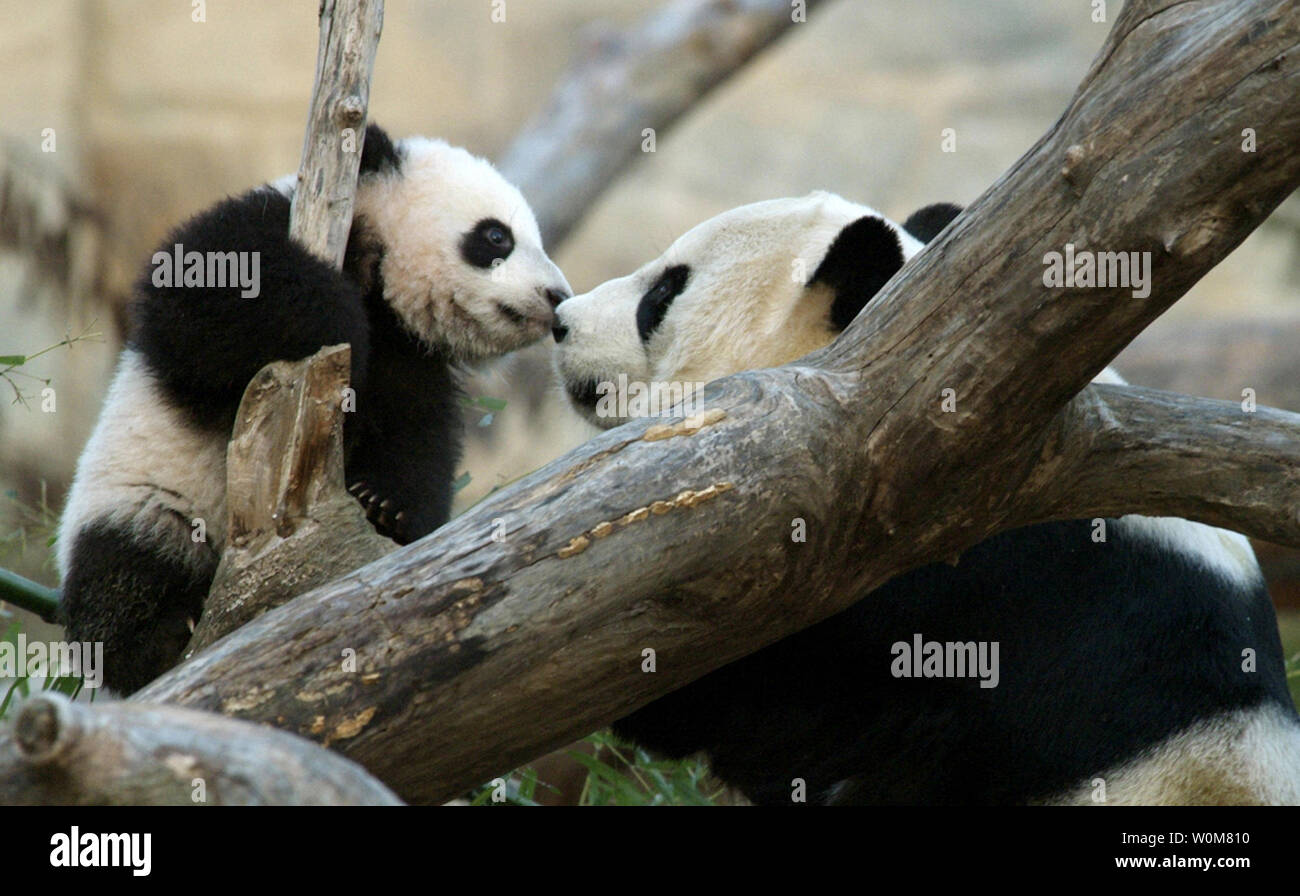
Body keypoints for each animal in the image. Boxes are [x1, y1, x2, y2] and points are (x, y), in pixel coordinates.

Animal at [59, 124, 571, 695]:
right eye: (497, 237)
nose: (557, 296)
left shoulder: (411, 357)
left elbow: (417, 435)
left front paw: (386, 505)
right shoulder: (262, 224)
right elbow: (207, 290)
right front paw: (335, 314)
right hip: (146, 499)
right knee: (126, 569)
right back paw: (162, 636)